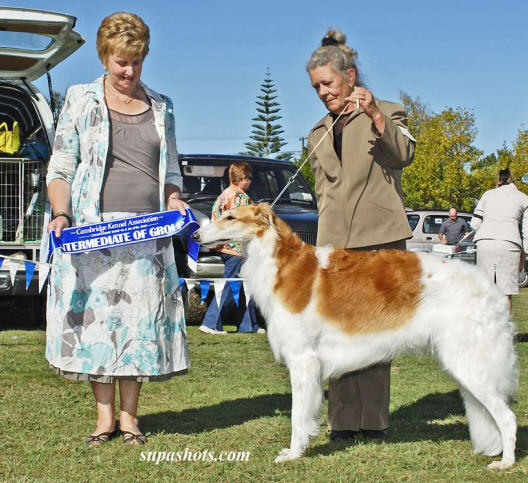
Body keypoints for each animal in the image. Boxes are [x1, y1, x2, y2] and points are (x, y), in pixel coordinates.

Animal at [192, 203, 516, 468]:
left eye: (230, 216)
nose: (195, 235)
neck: (283, 264)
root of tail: (490, 288)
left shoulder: (303, 361)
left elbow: (297, 417)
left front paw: (294, 453)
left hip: (468, 363)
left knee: (508, 418)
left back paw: (506, 463)